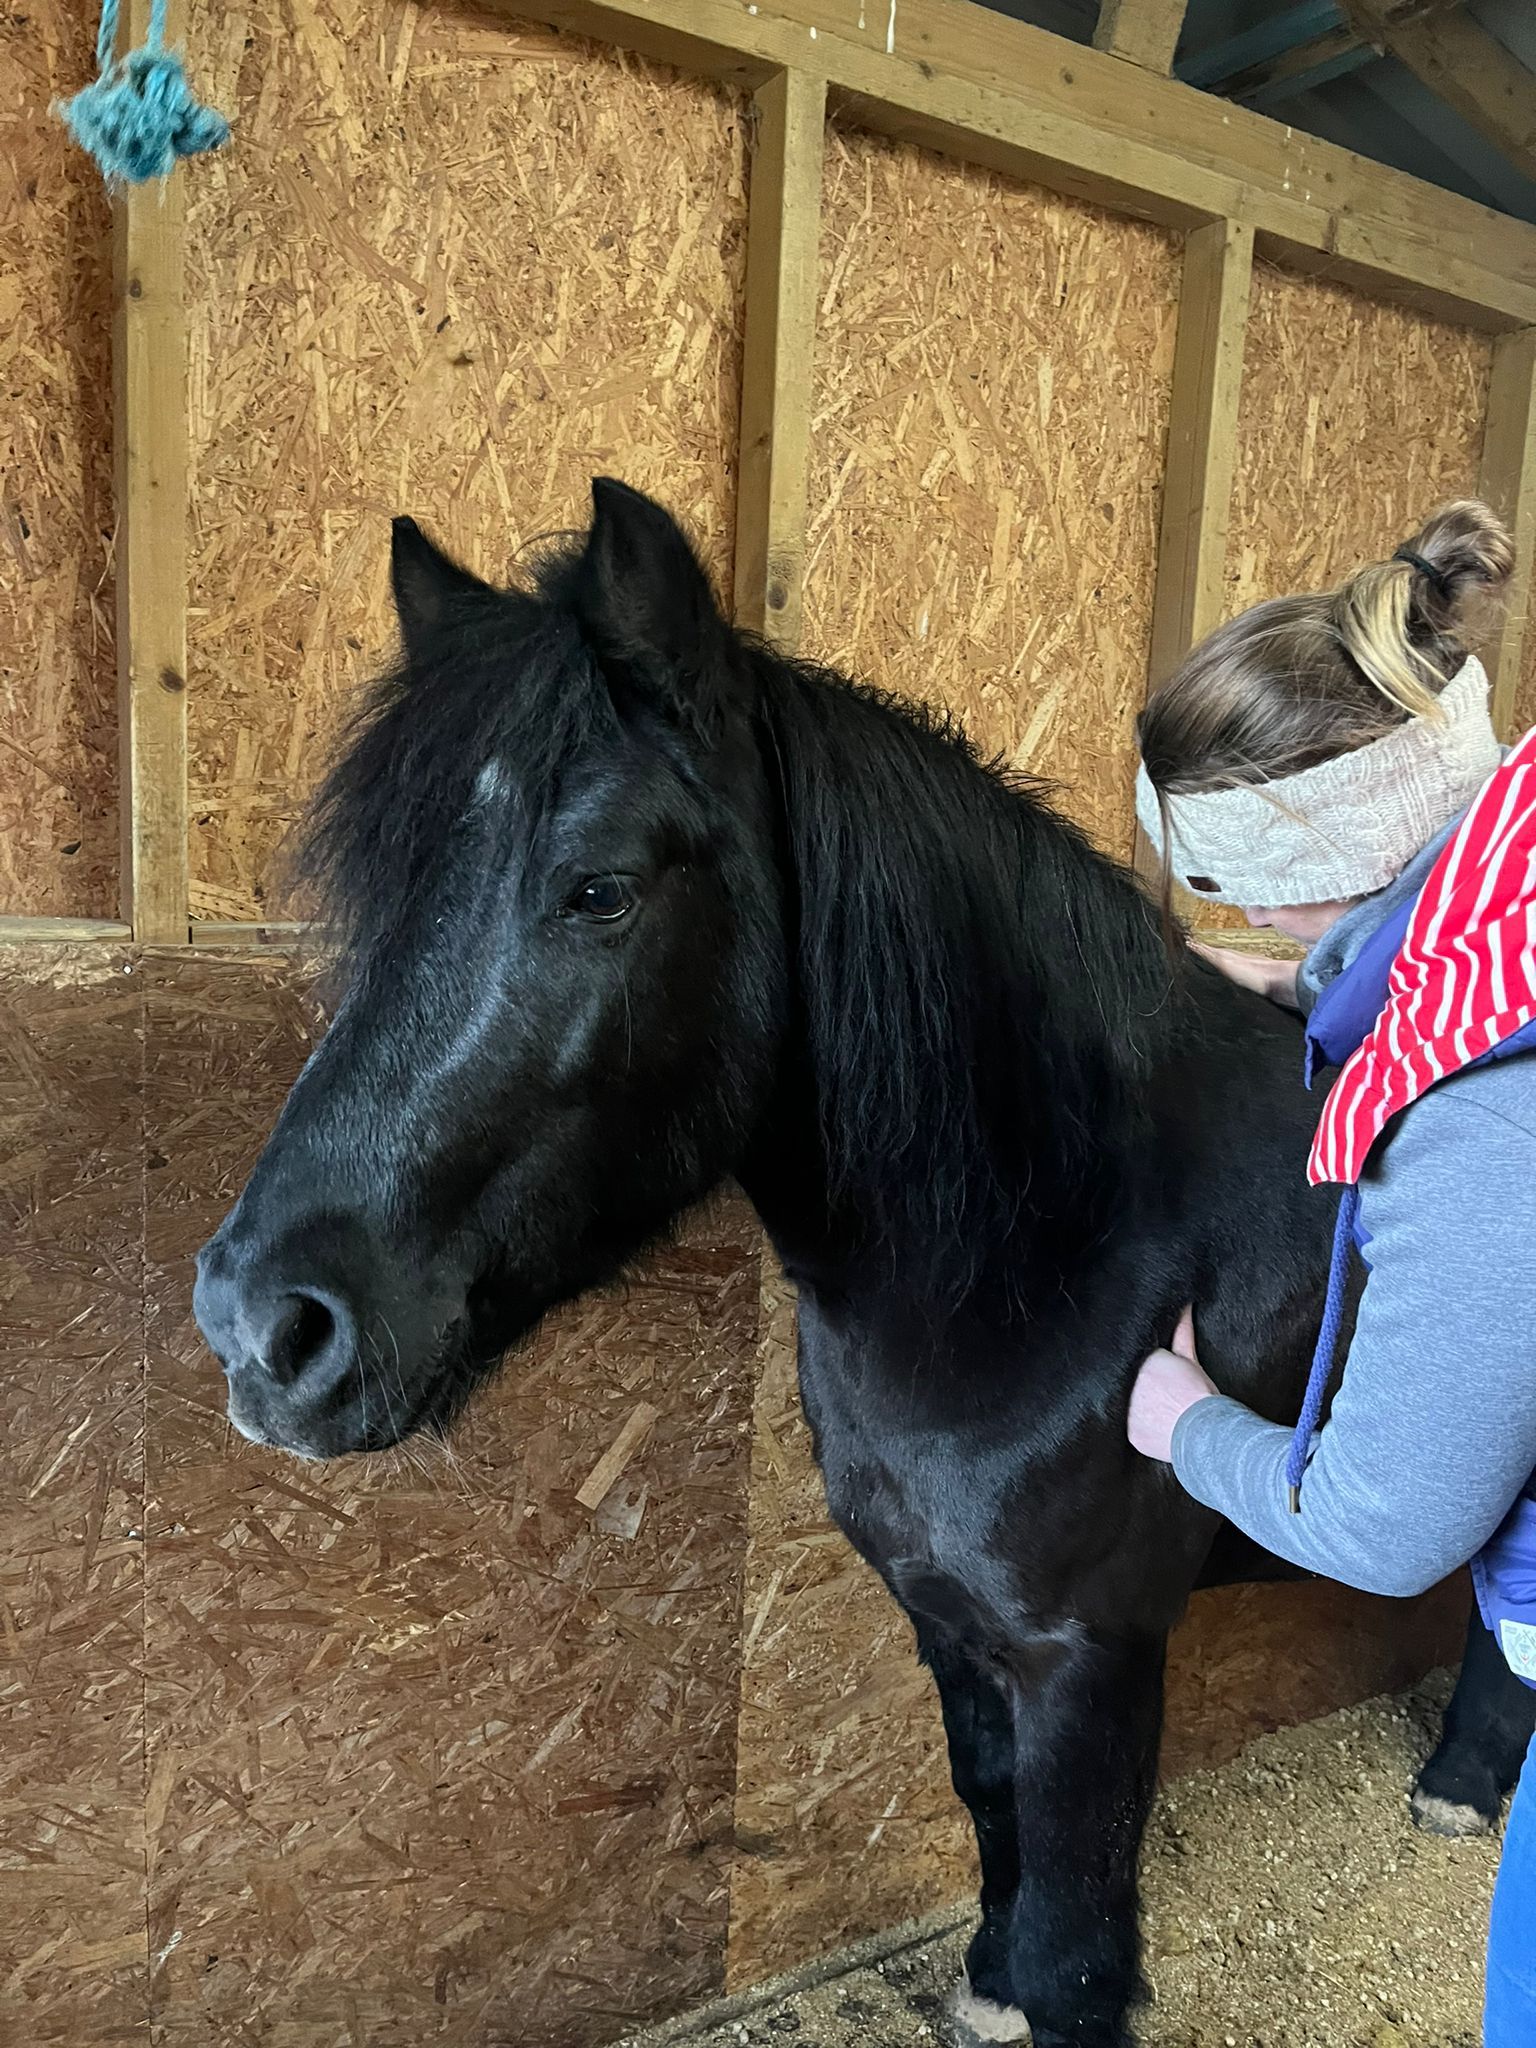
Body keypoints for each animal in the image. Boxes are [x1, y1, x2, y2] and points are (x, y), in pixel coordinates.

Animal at [194, 479, 1535, 2048]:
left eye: (596, 890)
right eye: (382, 885)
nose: (265, 1327)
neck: (1057, 1244)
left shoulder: (1089, 1658)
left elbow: (1081, 1947)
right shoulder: (954, 1627)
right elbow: (994, 1826)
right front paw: (988, 1987)